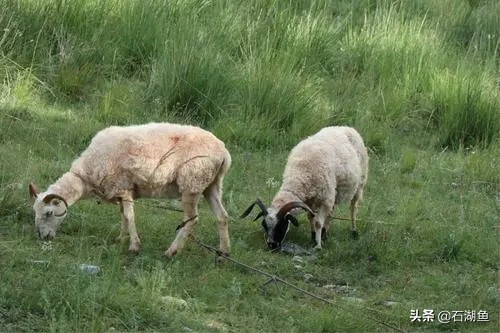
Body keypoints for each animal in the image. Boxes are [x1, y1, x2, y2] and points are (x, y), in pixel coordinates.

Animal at [27, 122, 230, 256]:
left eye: (48, 213)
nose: (43, 237)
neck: (86, 175)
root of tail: (223, 153)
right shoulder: (120, 191)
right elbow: (123, 216)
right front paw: (120, 238)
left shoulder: (123, 187)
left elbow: (129, 216)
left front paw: (134, 246)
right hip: (211, 185)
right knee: (222, 216)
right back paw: (224, 253)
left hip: (192, 183)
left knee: (191, 220)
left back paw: (171, 251)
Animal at [240, 125, 370, 249]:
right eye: (265, 225)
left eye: (281, 226)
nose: (272, 245)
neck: (300, 174)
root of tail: (346, 127)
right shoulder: (310, 201)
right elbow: (310, 217)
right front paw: (314, 237)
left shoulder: (324, 199)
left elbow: (318, 222)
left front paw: (318, 245)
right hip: (334, 192)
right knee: (331, 213)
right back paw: (325, 234)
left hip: (359, 183)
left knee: (353, 208)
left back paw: (353, 230)